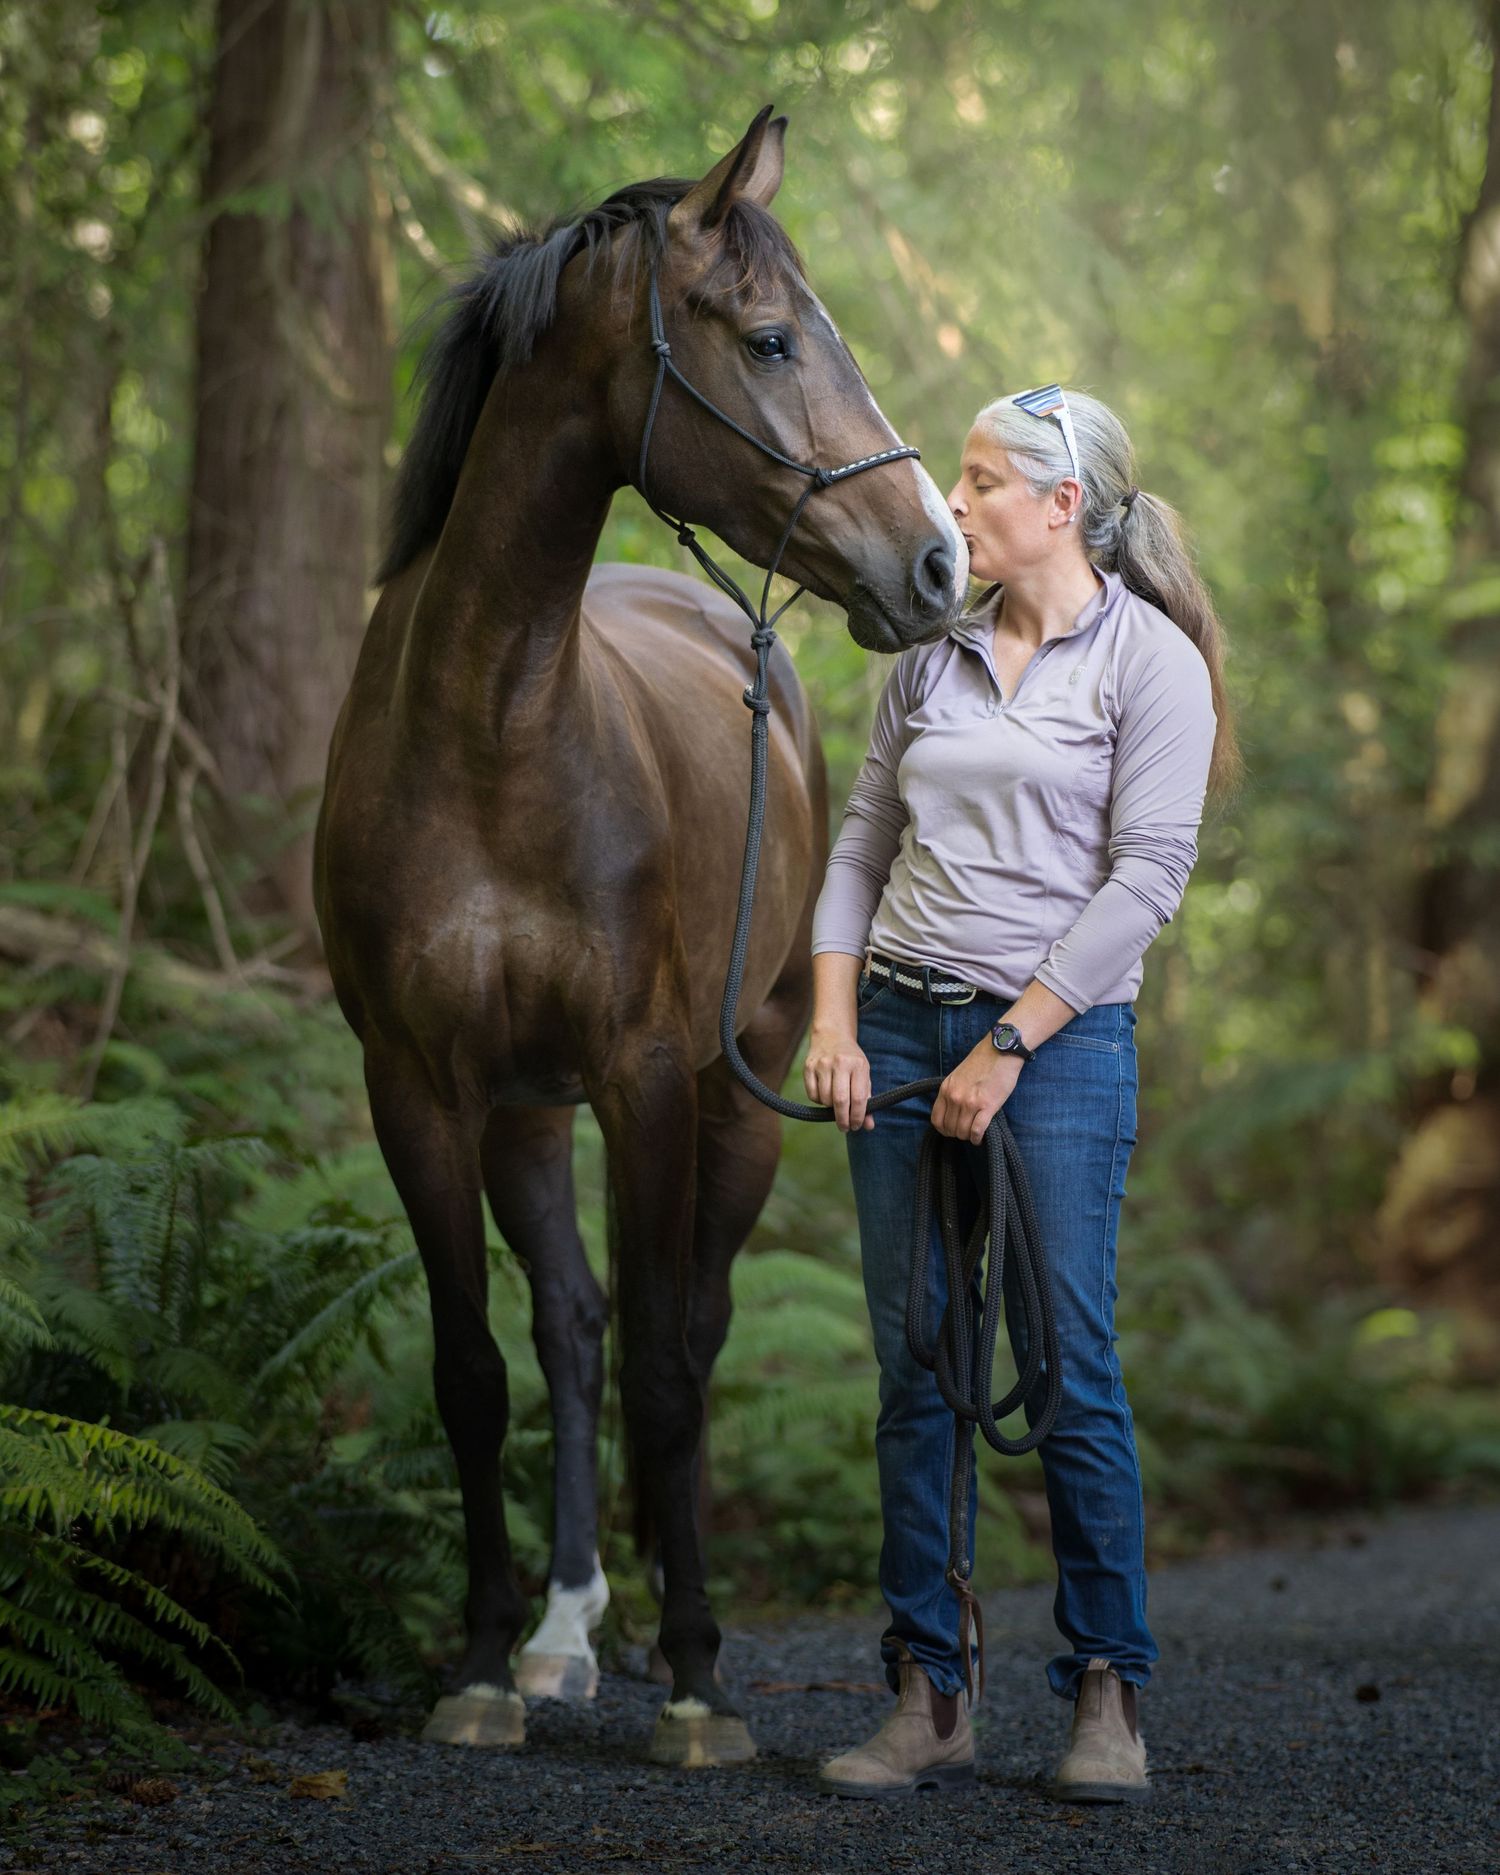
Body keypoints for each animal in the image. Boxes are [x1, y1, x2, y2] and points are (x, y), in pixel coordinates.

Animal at [313, 105, 966, 1766]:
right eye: (773, 336)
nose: (939, 563)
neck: (489, 725)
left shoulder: (655, 1078)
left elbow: (673, 1371)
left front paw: (699, 1677)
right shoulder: (418, 1089)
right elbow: (476, 1370)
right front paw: (483, 1663)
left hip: (733, 1097)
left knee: (695, 1327)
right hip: (528, 1115)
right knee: (573, 1323)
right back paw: (559, 1635)